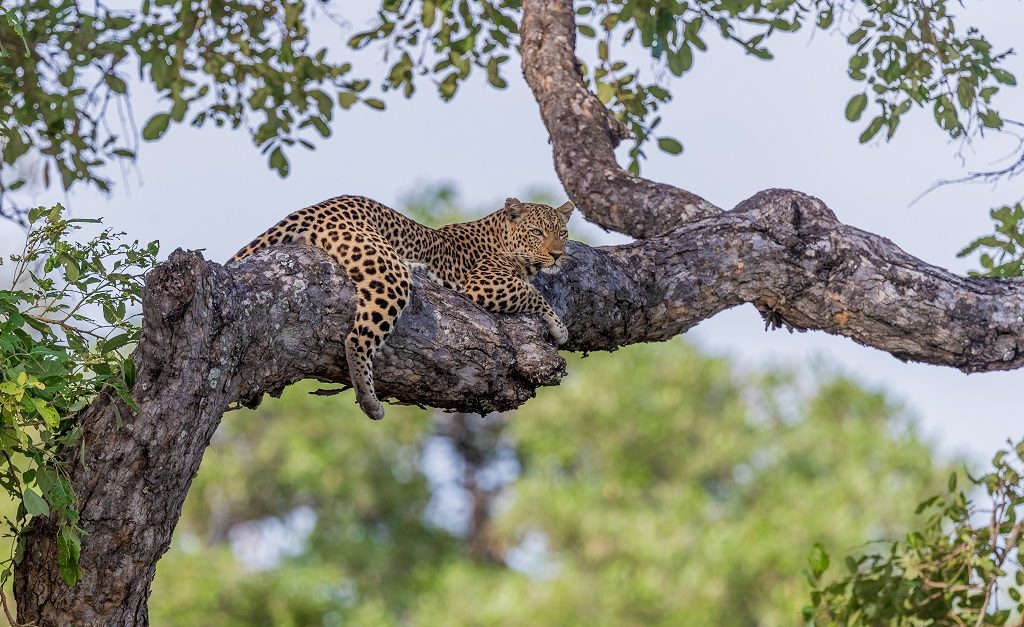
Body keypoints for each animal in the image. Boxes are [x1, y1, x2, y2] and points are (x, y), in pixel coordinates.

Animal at [227, 195, 573, 422]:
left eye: (562, 232)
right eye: (537, 232)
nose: (558, 254)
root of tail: (316, 207)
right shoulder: (483, 285)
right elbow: (533, 293)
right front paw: (559, 327)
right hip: (387, 272)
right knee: (356, 339)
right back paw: (370, 402)